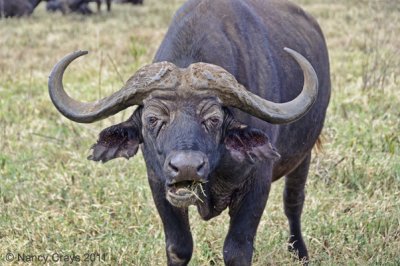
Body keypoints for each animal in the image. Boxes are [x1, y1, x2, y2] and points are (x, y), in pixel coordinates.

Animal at [48, 0, 330, 264]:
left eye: (213, 119)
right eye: (152, 119)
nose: (186, 167)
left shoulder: (257, 182)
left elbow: (237, 250)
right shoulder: (158, 183)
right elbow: (179, 247)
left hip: (303, 156)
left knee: (293, 202)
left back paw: (300, 252)